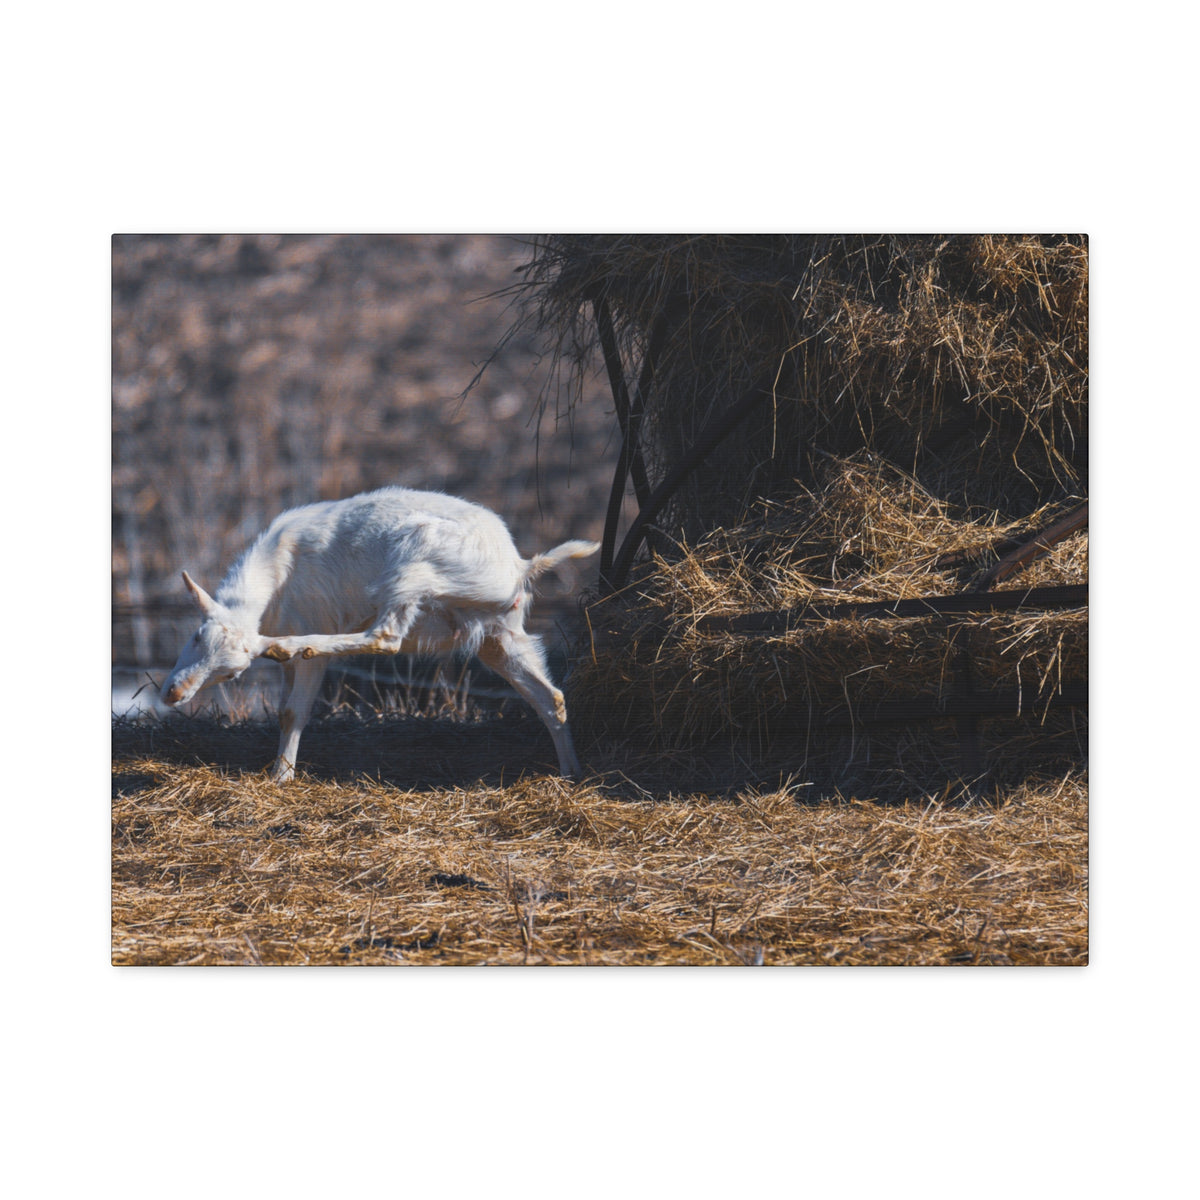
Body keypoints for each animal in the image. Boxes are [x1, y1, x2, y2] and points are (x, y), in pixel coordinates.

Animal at [160, 487, 600, 781]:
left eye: (232, 674)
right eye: (196, 636)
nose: (173, 694)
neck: (276, 570)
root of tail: (519, 566)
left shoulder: (312, 619)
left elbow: (293, 712)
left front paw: (279, 777)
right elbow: (287, 708)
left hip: (413, 565)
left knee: (385, 636)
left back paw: (288, 647)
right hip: (500, 634)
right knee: (550, 696)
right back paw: (571, 772)